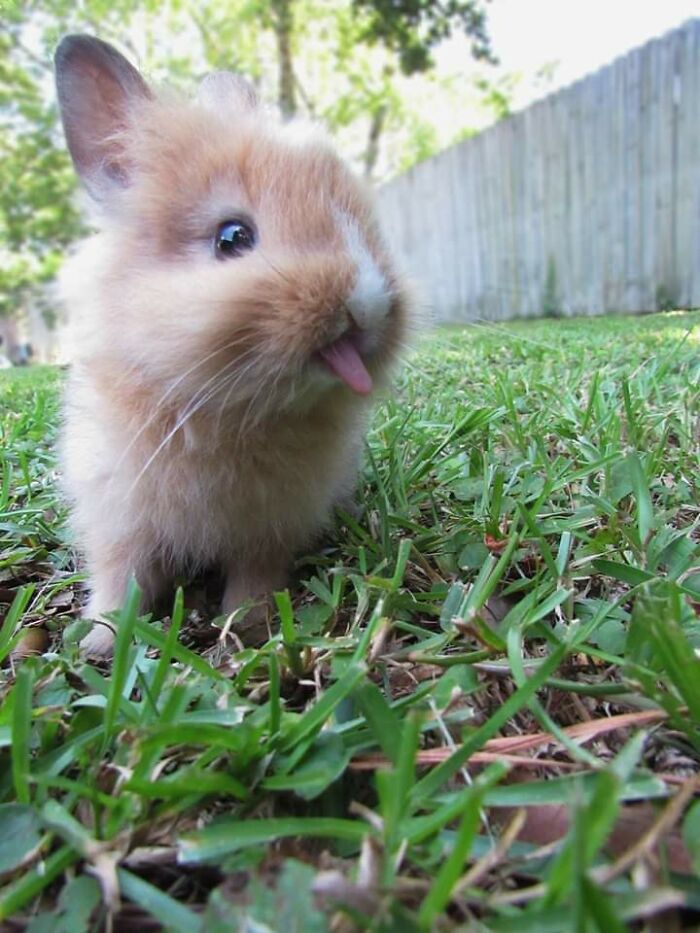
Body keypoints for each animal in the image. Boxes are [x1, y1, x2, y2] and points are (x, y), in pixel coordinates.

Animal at [54, 35, 408, 657]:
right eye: (232, 238)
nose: (369, 302)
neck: (231, 412)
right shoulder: (119, 517)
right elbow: (120, 576)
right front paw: (100, 640)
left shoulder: (268, 529)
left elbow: (255, 574)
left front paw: (247, 623)